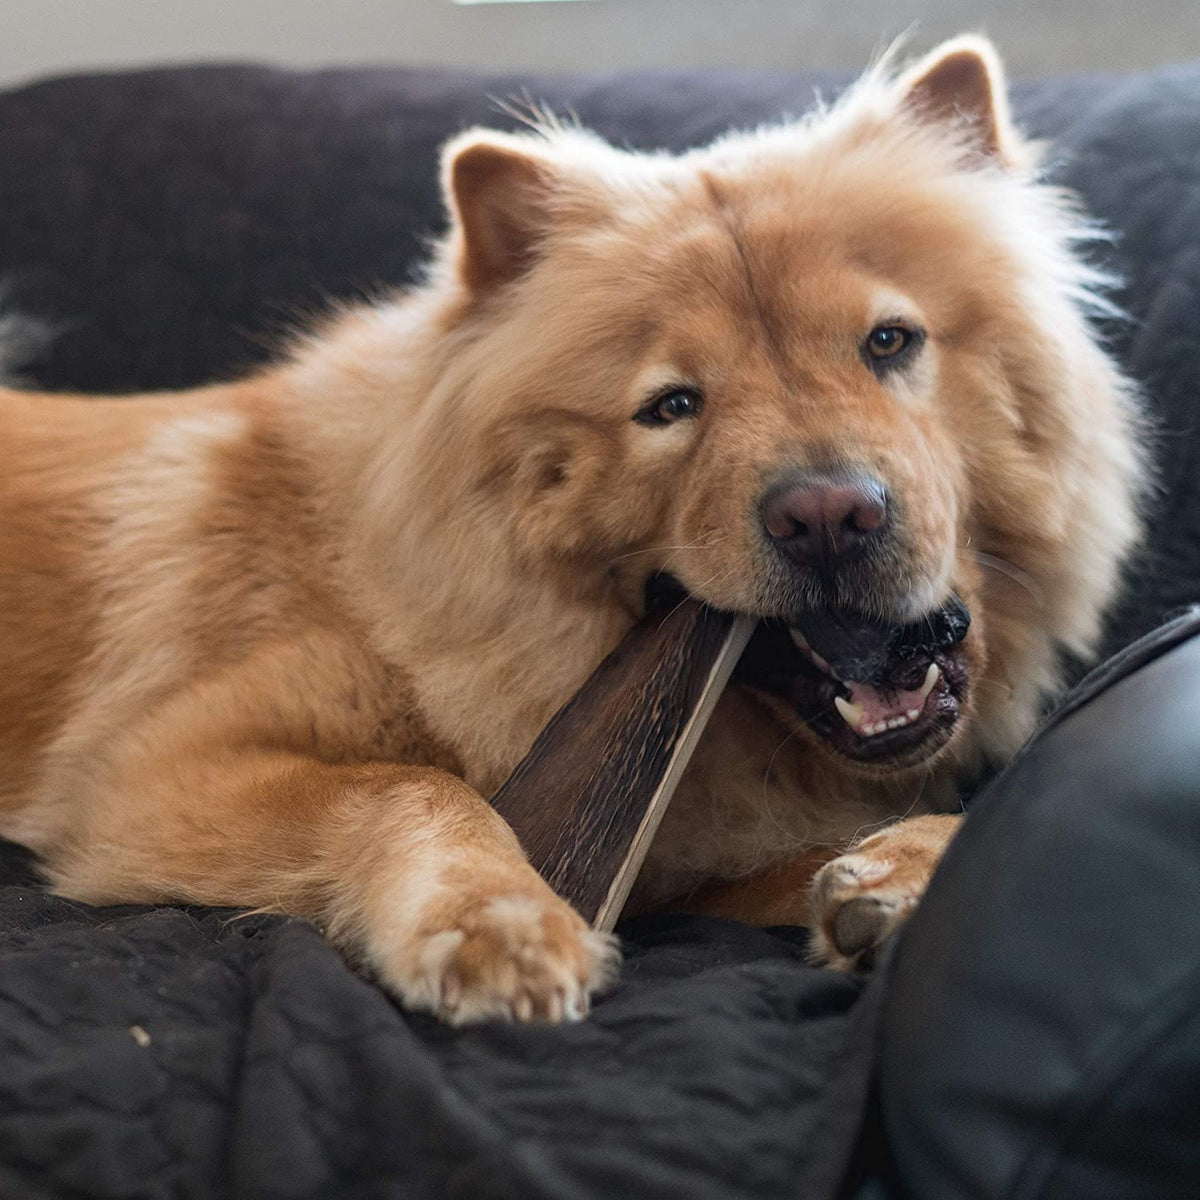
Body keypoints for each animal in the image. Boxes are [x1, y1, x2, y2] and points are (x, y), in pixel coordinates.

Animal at [0, 42, 1142, 1027]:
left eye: (890, 343)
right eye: (673, 407)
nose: (827, 514)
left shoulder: (696, 862)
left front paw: (899, 871)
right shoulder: (162, 773)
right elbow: (411, 786)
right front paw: (496, 923)